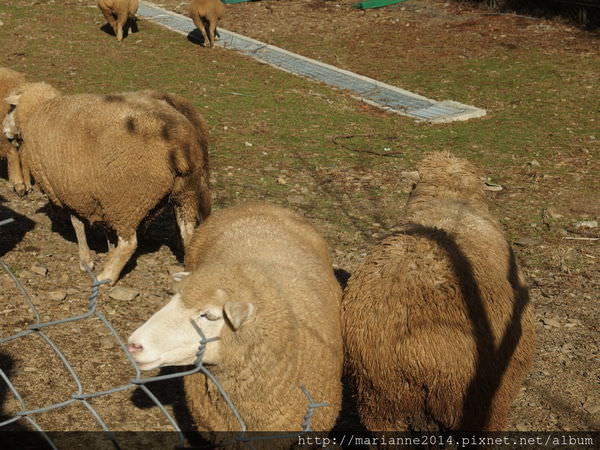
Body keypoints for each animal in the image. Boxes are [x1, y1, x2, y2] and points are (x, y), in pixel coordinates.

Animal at [1, 82, 211, 284]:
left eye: (11, 108)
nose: (4, 131)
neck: (37, 111)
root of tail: (178, 138)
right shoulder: (99, 194)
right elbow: (105, 229)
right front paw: (108, 249)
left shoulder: (70, 192)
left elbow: (77, 225)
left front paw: (86, 261)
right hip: (185, 193)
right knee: (188, 233)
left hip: (129, 198)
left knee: (129, 243)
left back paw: (107, 276)